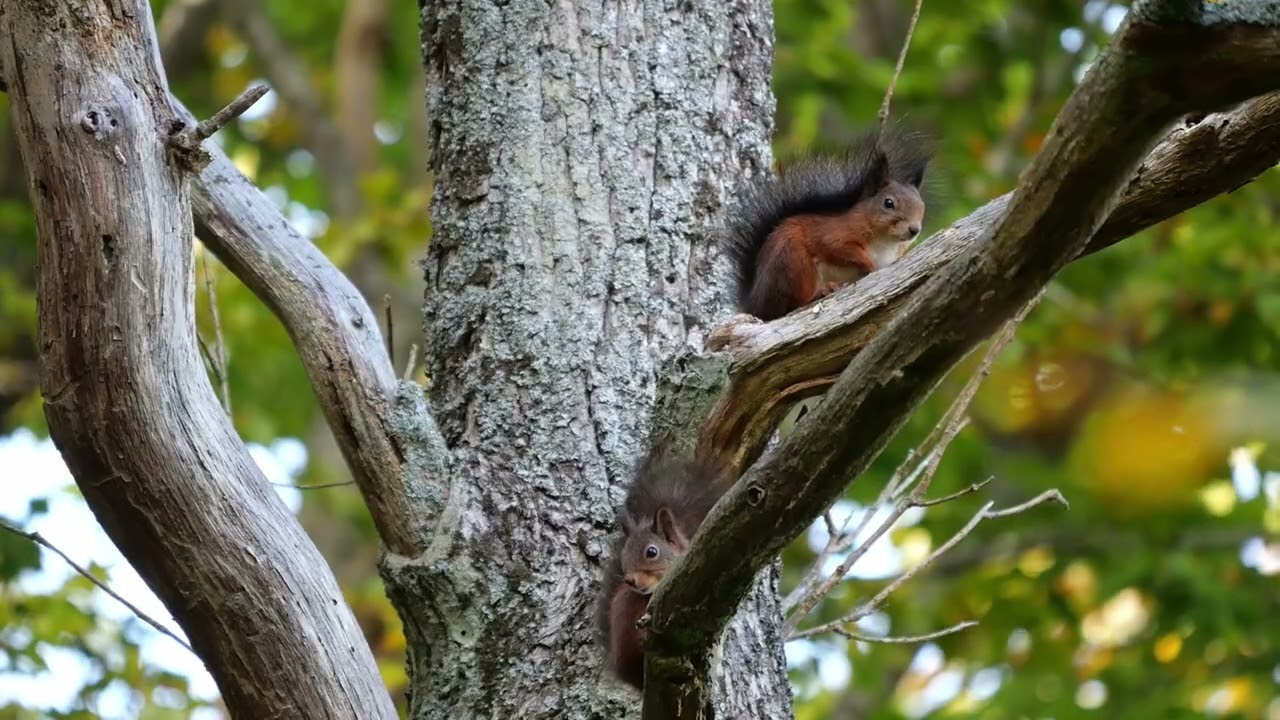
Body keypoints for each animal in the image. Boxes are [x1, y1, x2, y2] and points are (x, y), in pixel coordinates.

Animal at [724, 129, 933, 321]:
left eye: (922, 205)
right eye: (888, 203)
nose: (914, 230)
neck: (886, 242)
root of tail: (756, 303)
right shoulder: (836, 233)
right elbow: (836, 247)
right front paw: (869, 265)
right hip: (793, 262)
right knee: (791, 305)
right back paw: (821, 292)